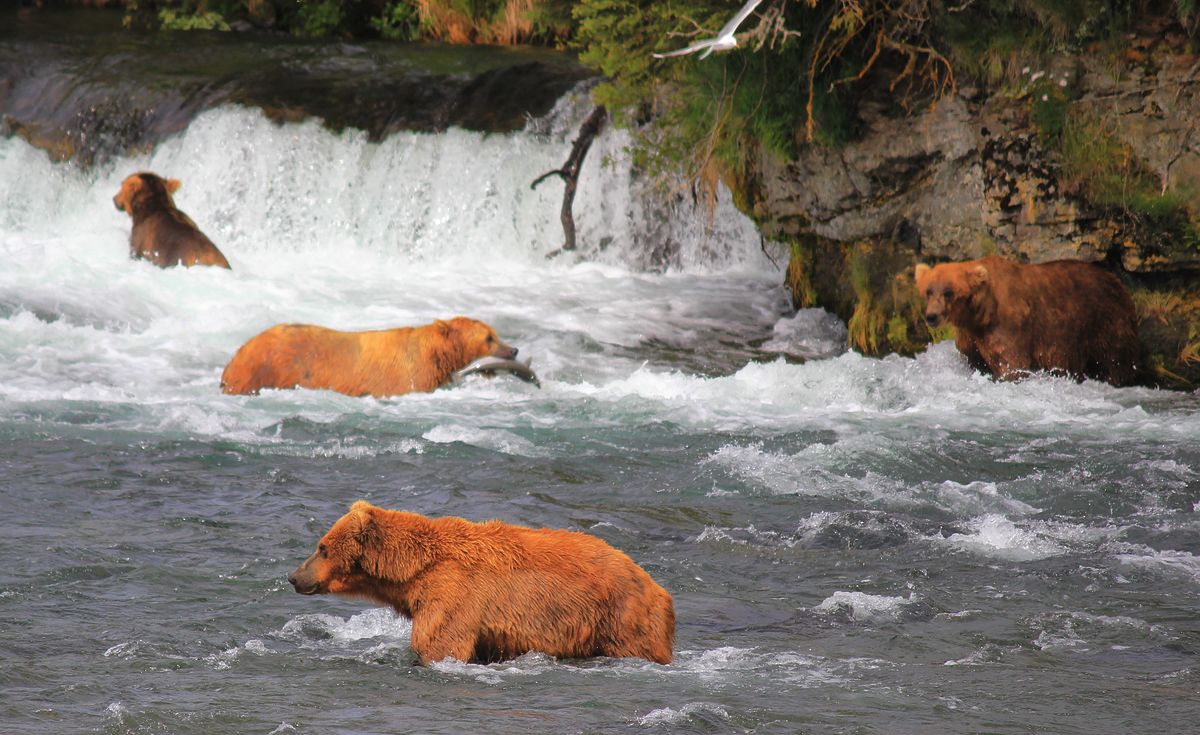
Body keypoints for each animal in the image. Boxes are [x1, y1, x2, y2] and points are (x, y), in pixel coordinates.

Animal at [285, 499, 672, 667]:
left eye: (322, 547)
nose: (293, 577)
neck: (413, 571)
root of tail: (658, 587)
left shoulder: (454, 593)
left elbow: (439, 643)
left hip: (621, 616)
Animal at [916, 255, 1142, 386]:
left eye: (948, 292)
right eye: (929, 290)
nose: (931, 316)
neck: (979, 315)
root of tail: (1117, 280)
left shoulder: (1008, 327)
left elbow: (1012, 364)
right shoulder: (970, 337)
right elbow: (975, 361)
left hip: (1105, 320)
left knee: (1115, 360)